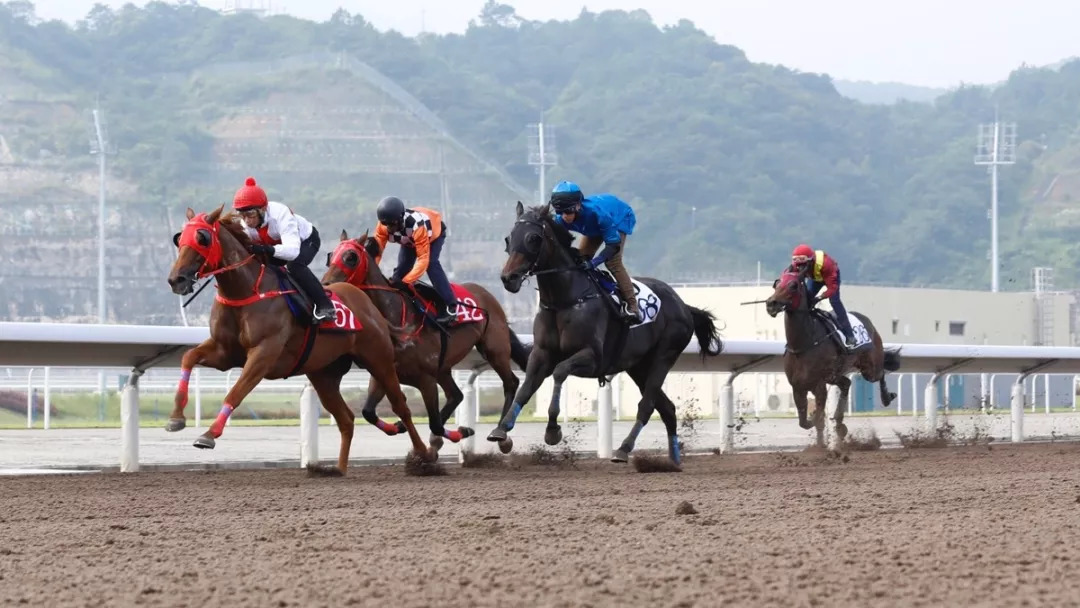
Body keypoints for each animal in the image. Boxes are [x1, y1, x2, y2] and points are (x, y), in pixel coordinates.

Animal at [164, 207, 429, 473]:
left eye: (202, 238)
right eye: (179, 238)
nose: (176, 279)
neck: (247, 291)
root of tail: (369, 304)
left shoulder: (264, 354)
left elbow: (236, 392)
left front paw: (208, 435)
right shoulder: (224, 353)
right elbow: (188, 358)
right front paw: (176, 418)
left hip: (379, 360)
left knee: (401, 406)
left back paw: (423, 456)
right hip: (323, 374)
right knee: (346, 419)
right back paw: (338, 470)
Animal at [321, 231, 533, 460]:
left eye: (350, 257)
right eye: (330, 256)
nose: (326, 285)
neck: (396, 321)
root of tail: (488, 296)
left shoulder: (426, 380)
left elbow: (435, 423)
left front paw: (461, 432)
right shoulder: (383, 372)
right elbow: (368, 412)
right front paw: (400, 427)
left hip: (494, 349)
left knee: (510, 383)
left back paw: (501, 435)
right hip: (444, 367)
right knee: (456, 395)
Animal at [494, 201, 721, 468]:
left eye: (533, 238)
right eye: (509, 238)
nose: (508, 278)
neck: (565, 300)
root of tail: (684, 306)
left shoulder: (592, 357)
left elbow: (560, 372)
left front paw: (552, 430)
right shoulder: (541, 354)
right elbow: (526, 387)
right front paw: (502, 429)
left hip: (663, 357)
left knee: (647, 405)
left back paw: (623, 450)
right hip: (638, 366)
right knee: (667, 408)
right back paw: (673, 461)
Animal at [764, 266, 907, 447]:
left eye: (793, 285)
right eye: (776, 284)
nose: (771, 304)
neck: (804, 343)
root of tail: (867, 321)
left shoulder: (819, 385)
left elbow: (818, 418)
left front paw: (820, 442)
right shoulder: (798, 386)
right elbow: (804, 421)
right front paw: (817, 430)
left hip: (870, 368)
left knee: (880, 373)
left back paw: (886, 398)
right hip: (834, 375)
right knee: (846, 383)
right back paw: (839, 423)